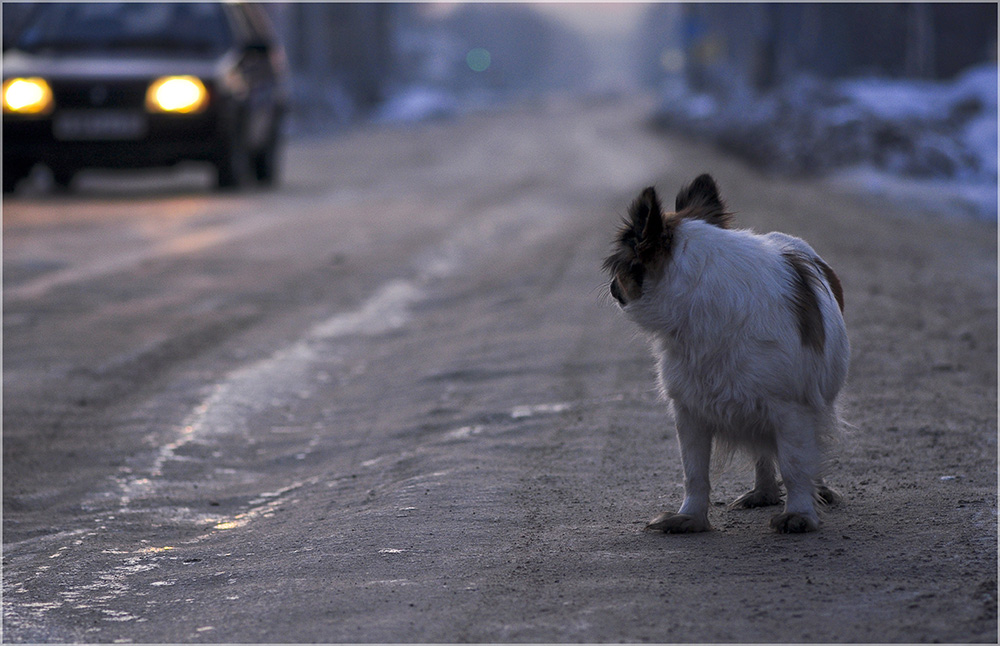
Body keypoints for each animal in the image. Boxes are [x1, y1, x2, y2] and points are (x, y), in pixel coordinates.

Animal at [600, 175, 852, 536]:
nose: (611, 287)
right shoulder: (690, 411)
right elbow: (694, 473)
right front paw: (690, 518)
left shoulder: (791, 409)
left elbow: (795, 464)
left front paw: (800, 514)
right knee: (763, 452)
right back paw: (763, 492)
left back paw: (817, 489)